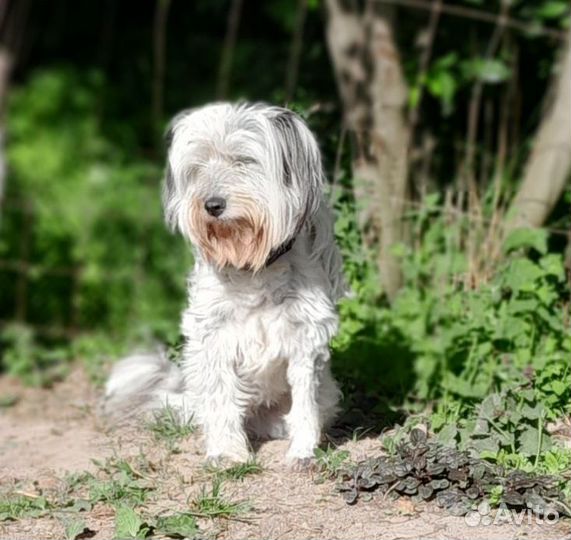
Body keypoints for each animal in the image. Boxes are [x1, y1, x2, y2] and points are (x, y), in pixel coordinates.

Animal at [103, 102, 346, 468]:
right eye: (199, 166)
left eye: (243, 160)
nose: (212, 205)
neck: (253, 267)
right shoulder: (214, 337)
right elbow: (222, 399)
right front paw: (228, 451)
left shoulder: (307, 336)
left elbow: (305, 403)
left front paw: (303, 450)